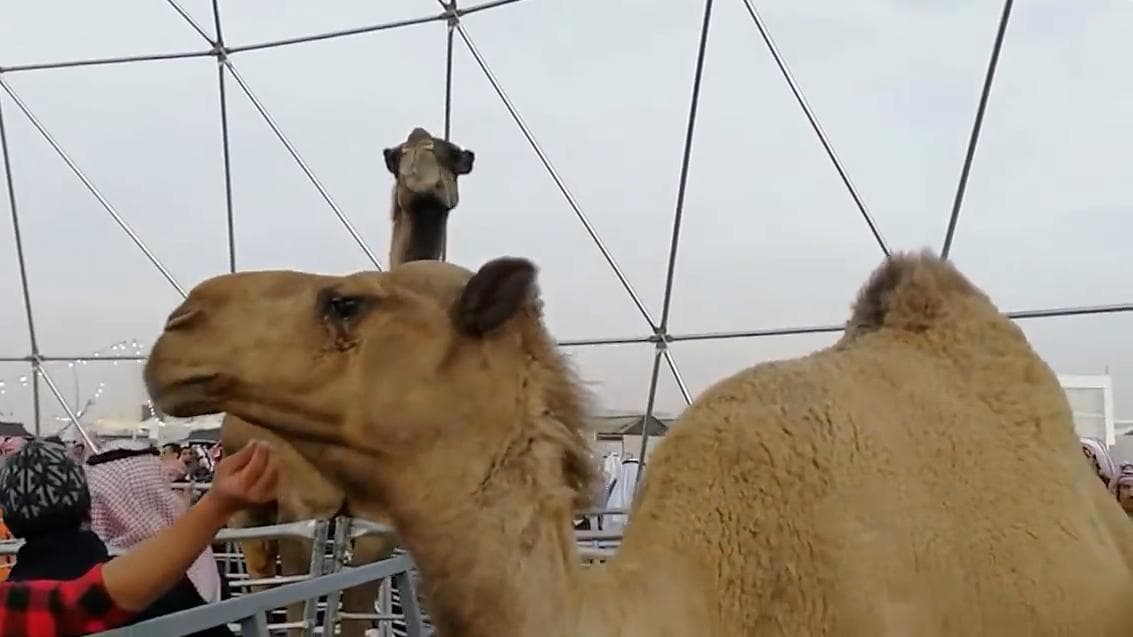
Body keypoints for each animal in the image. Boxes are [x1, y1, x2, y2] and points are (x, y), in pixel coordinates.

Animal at [218, 126, 475, 636]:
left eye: (452, 154)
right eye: (398, 157)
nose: (424, 183)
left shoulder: (376, 522)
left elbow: (355, 608)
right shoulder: (303, 508)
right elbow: (299, 613)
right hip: (249, 505)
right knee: (259, 580)